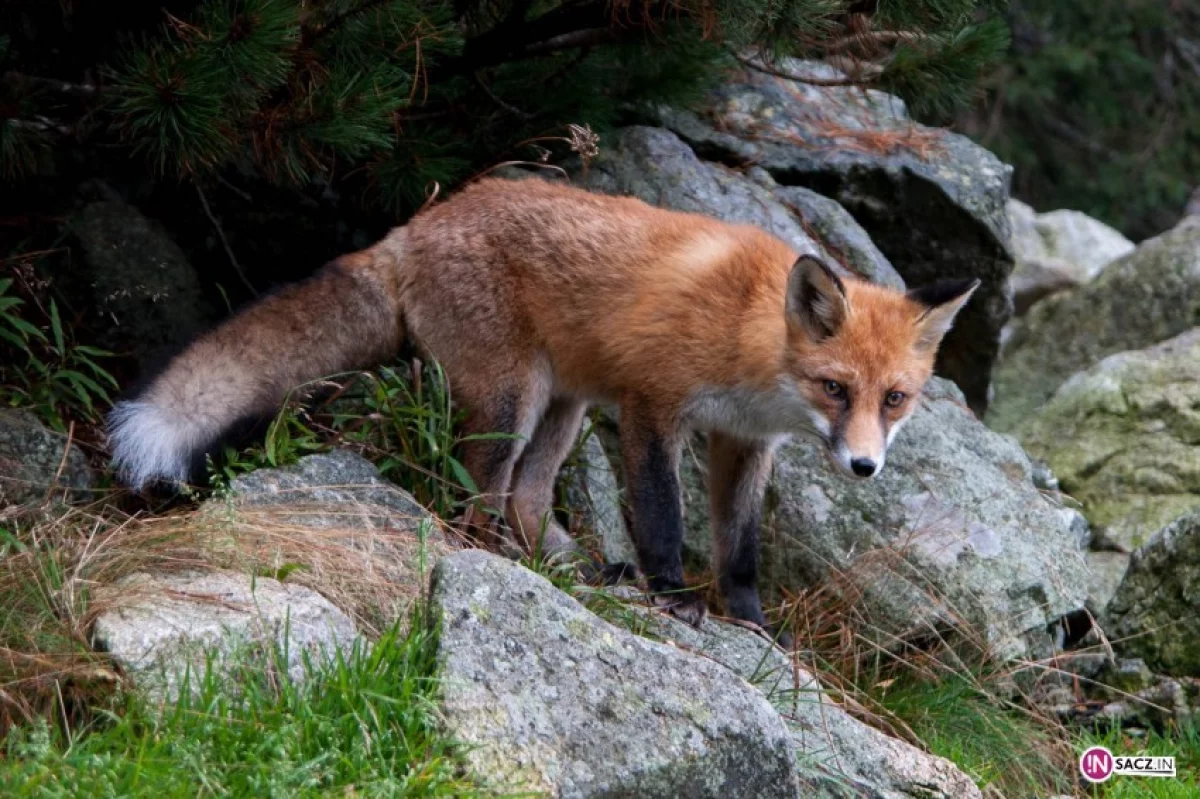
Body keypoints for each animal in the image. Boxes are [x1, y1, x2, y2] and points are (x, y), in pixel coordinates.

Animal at [108, 176, 979, 633]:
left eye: (894, 398)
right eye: (836, 388)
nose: (865, 467)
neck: (749, 338)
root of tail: (415, 226)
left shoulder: (744, 444)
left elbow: (740, 546)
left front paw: (748, 618)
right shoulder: (651, 407)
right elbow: (663, 516)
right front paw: (672, 594)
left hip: (563, 409)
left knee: (525, 498)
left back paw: (567, 565)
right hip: (514, 400)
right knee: (473, 494)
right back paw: (500, 558)